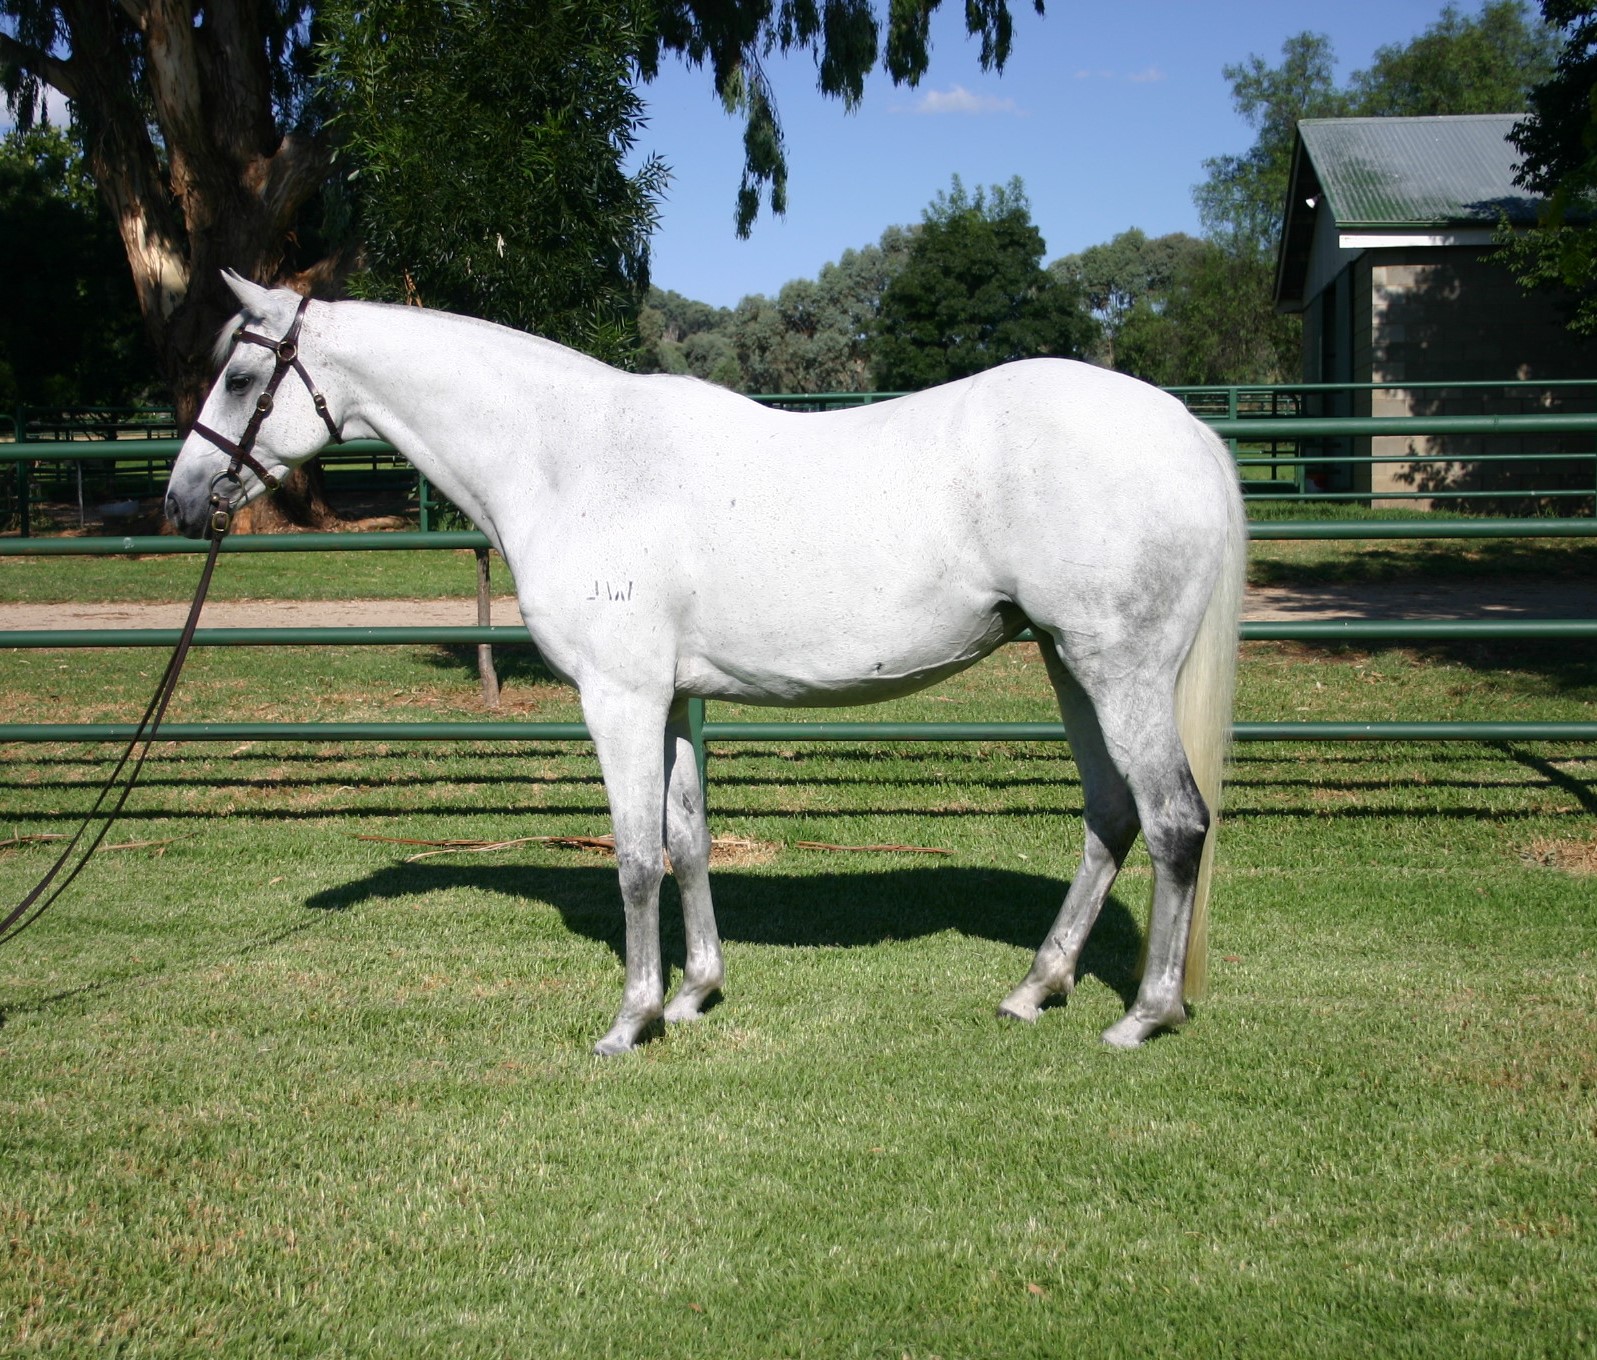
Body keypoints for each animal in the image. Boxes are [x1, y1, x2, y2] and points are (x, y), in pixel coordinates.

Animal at [165, 273, 1246, 1055]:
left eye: (238, 379)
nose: (180, 502)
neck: (574, 460)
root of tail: (1188, 430)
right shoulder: (674, 698)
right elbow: (687, 841)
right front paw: (693, 996)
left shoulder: (619, 697)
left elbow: (634, 856)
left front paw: (629, 1020)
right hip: (1069, 664)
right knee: (1110, 818)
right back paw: (1034, 988)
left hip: (1118, 670)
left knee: (1173, 821)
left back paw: (1142, 1015)